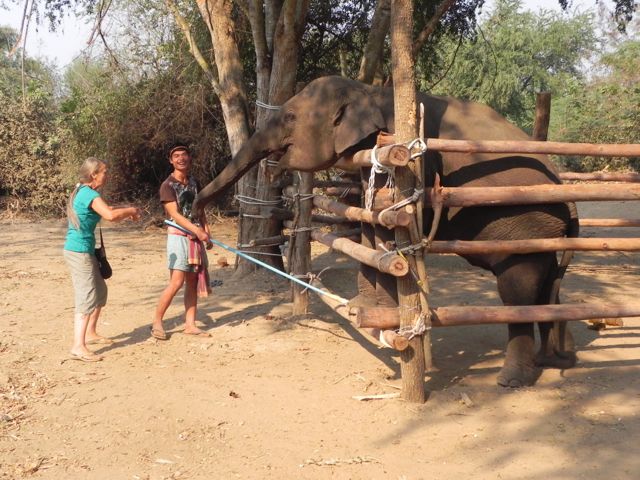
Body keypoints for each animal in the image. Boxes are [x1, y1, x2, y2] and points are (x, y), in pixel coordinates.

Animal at [194, 75, 579, 388]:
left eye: (289, 117)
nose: (197, 216)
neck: (369, 90)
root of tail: (565, 187)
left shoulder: (401, 155)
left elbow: (388, 221)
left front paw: (386, 317)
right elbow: (368, 221)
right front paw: (366, 308)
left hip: (526, 221)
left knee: (517, 290)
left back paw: (513, 379)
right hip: (543, 230)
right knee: (545, 284)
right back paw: (554, 360)